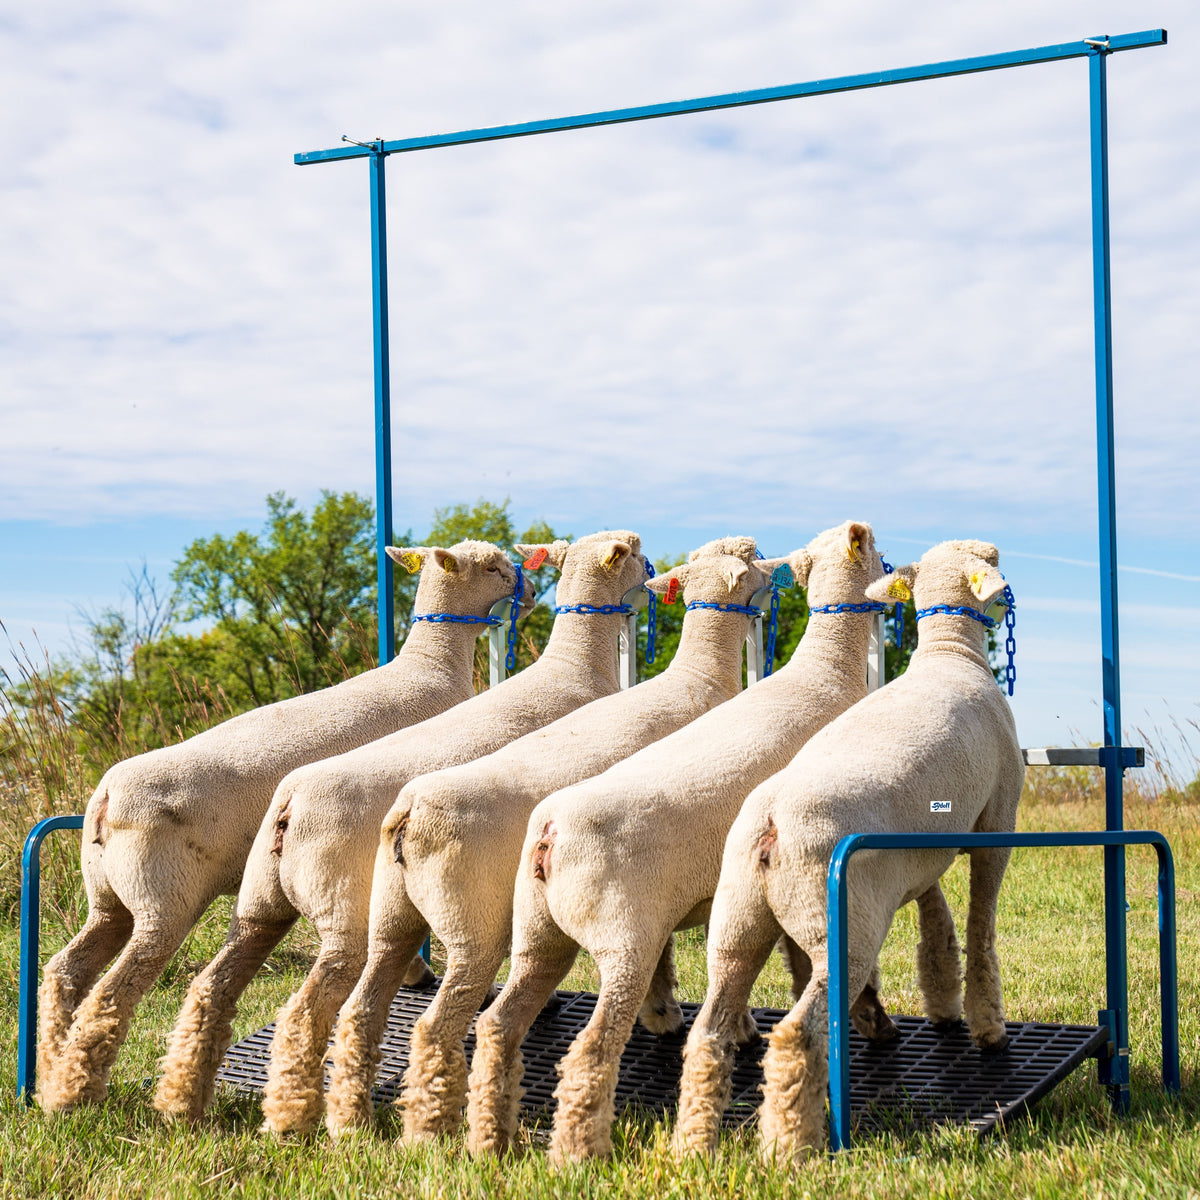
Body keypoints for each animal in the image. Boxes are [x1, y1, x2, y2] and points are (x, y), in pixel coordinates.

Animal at [35, 540, 528, 1115]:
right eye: (493, 566)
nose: (527, 585)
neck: (430, 666)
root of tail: (105, 799)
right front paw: (420, 975)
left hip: (108, 895)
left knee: (66, 969)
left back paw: (50, 1072)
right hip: (162, 897)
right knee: (114, 988)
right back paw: (76, 1093)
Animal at [151, 531, 649, 1131]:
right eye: (492, 567)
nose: (528, 592)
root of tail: (289, 807)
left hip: (259, 901)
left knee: (213, 985)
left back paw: (181, 1101)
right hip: (343, 909)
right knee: (312, 1006)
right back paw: (299, 1114)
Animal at [323, 536, 780, 1142]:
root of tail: (410, 812)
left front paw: (661, 1010)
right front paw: (719, 1021)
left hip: (392, 914)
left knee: (359, 1009)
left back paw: (345, 1119)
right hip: (471, 922)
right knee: (437, 1023)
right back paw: (431, 1127)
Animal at [465, 520, 941, 1164]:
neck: (823, 672)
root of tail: (550, 834)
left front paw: (731, 1024)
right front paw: (867, 1019)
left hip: (538, 935)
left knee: (495, 1026)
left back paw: (485, 1139)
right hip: (624, 936)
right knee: (590, 1047)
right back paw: (578, 1152)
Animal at [672, 538, 1023, 1163]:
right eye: (992, 558)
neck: (950, 654)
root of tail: (770, 828)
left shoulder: (920, 856)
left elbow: (937, 920)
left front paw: (943, 1001)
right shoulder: (996, 822)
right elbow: (980, 928)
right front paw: (987, 1026)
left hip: (736, 924)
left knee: (709, 1031)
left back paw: (694, 1143)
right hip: (839, 933)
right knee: (797, 1031)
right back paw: (790, 1147)